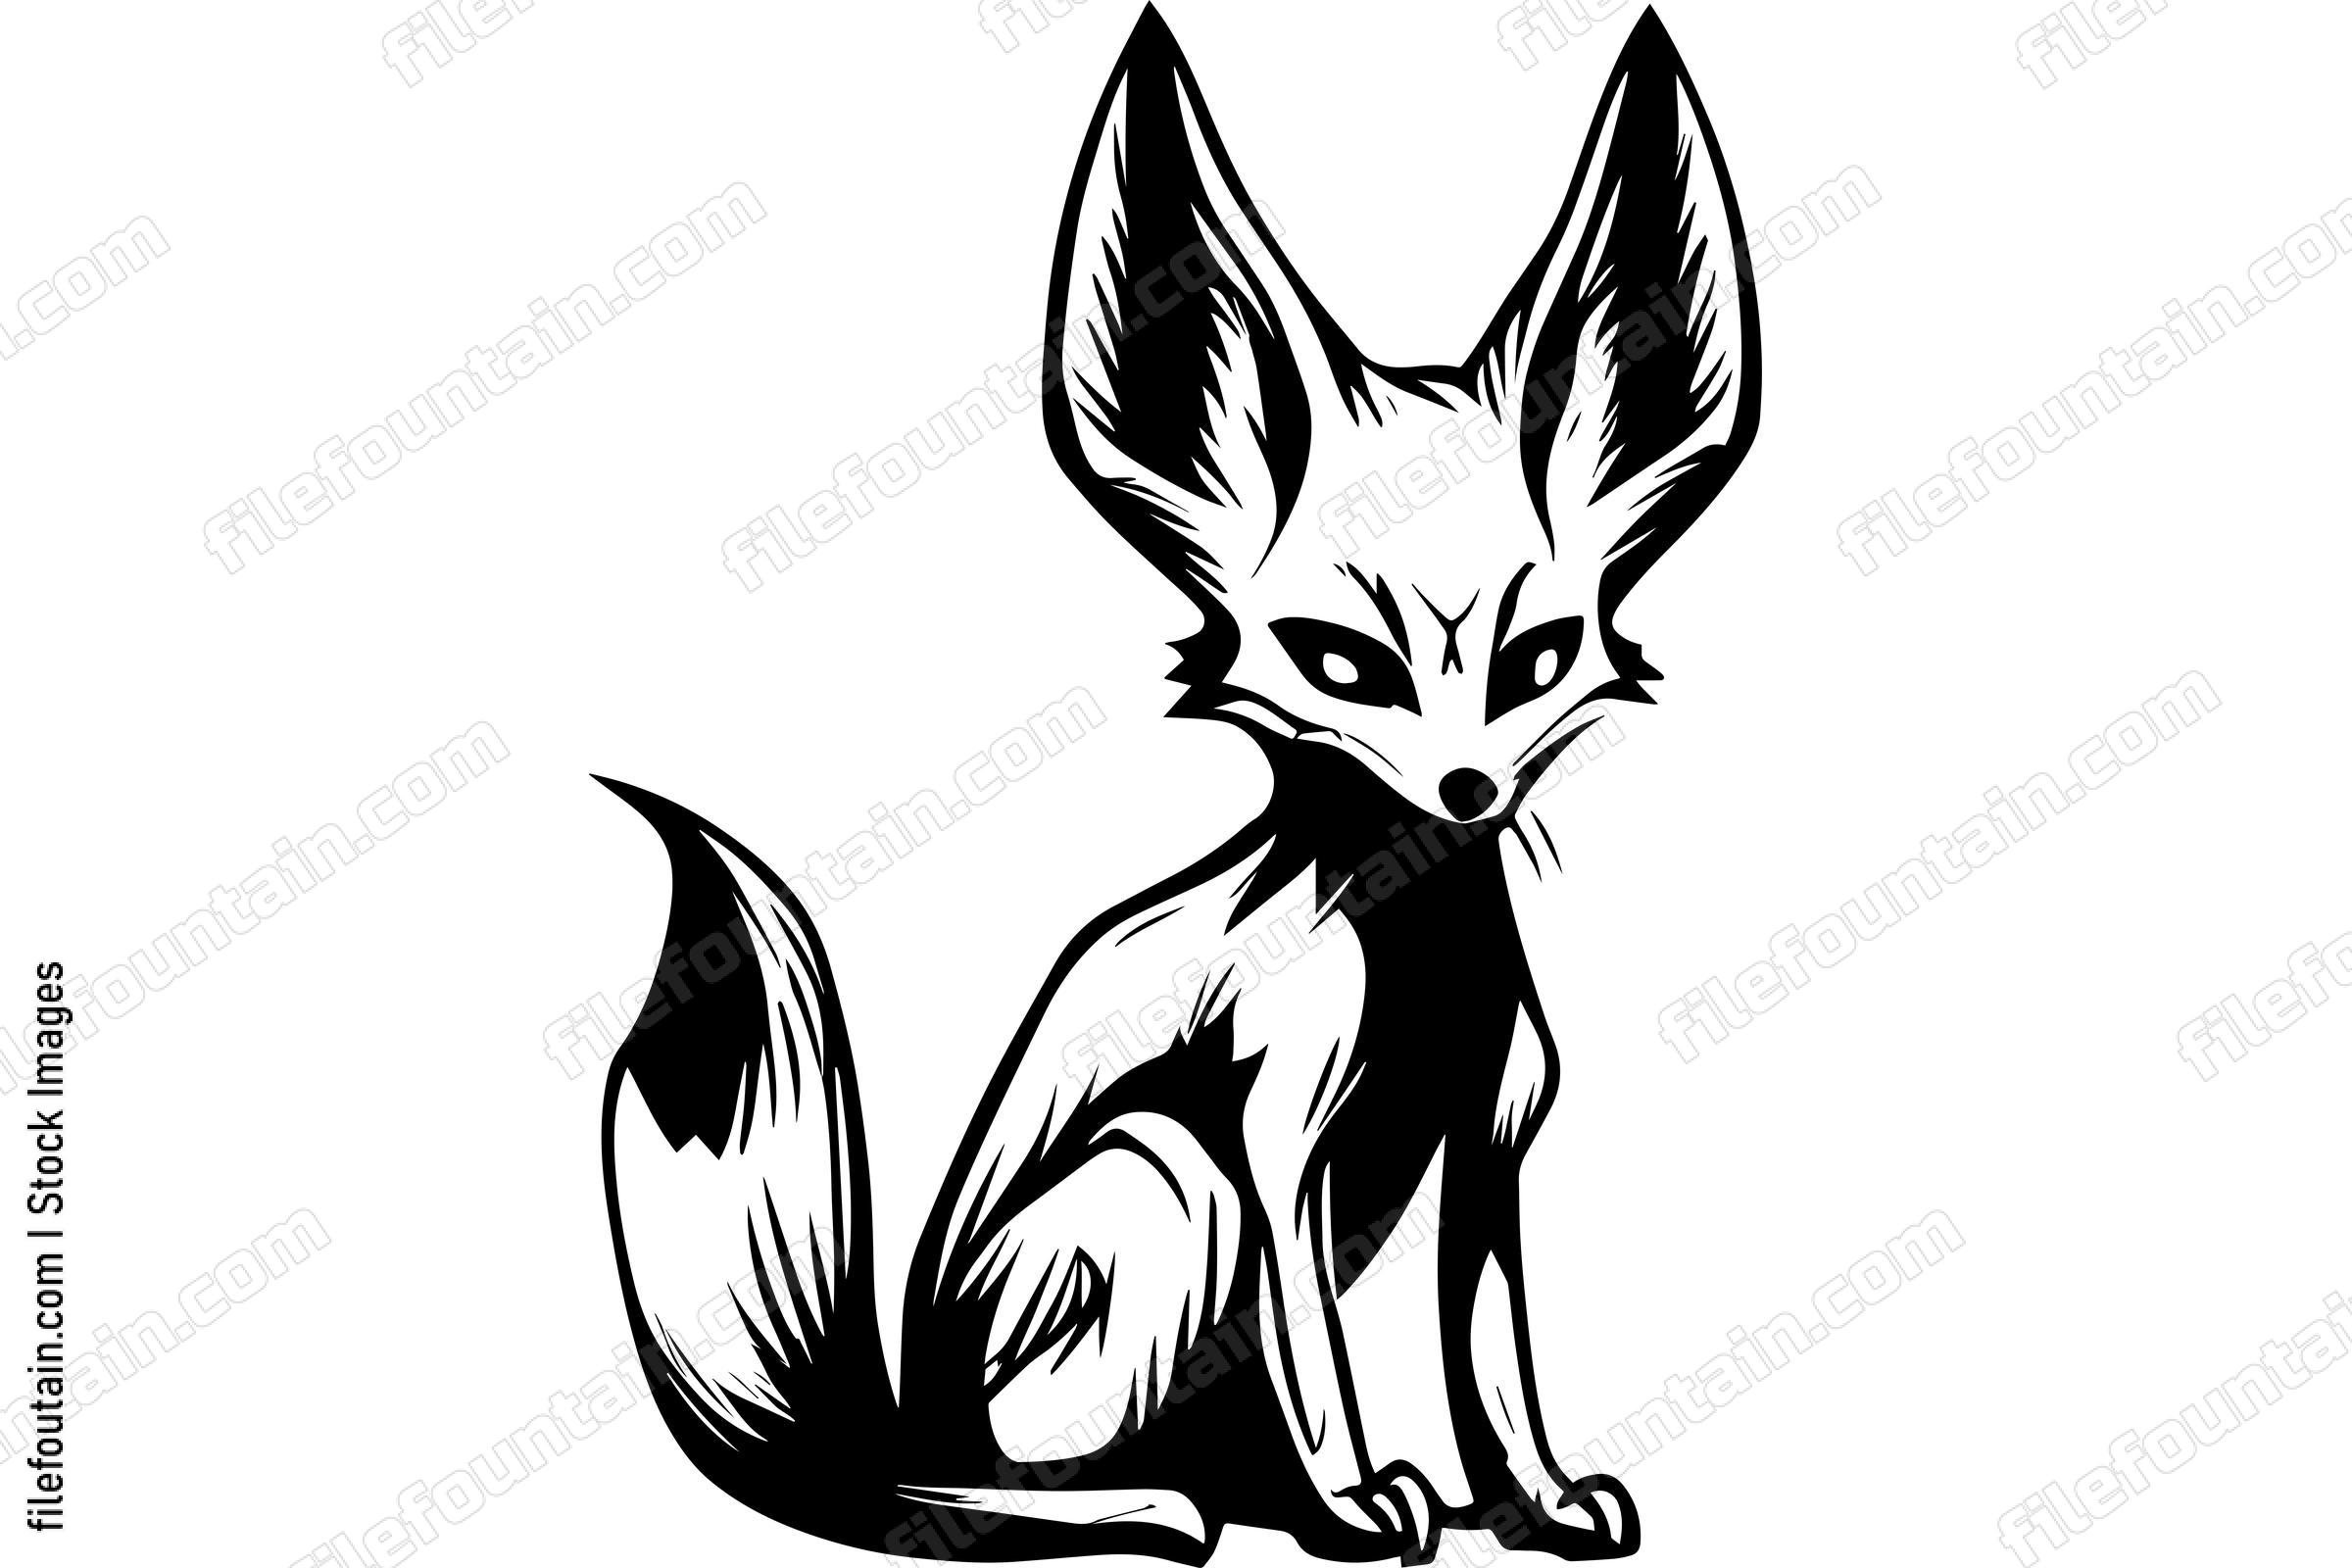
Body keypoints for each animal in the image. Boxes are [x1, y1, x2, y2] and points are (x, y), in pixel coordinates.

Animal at [597, 7, 1758, 1564]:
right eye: (1340, 662)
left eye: (1540, 658)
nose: (1465, 790)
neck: (1422, 970)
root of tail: (884, 1427)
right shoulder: (1271, 1151)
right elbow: (1320, 1366)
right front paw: (1356, 1503)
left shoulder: (1494, 1150)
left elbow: (1495, 1355)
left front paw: (1536, 1498)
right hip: (1162, 1172)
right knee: (992, 1494)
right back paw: (1160, 1505)